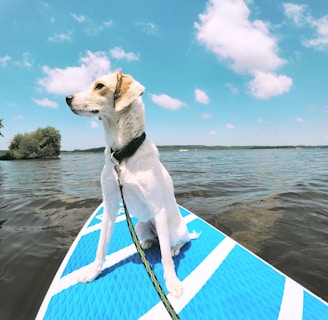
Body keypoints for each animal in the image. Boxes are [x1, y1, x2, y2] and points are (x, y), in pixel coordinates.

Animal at [65, 72, 196, 298]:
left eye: (99, 86)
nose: (67, 98)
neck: (122, 154)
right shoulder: (110, 204)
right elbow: (101, 245)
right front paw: (93, 272)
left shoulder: (158, 209)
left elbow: (165, 258)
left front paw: (172, 283)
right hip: (141, 225)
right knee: (154, 240)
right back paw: (146, 242)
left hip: (172, 229)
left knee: (176, 243)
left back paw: (173, 248)